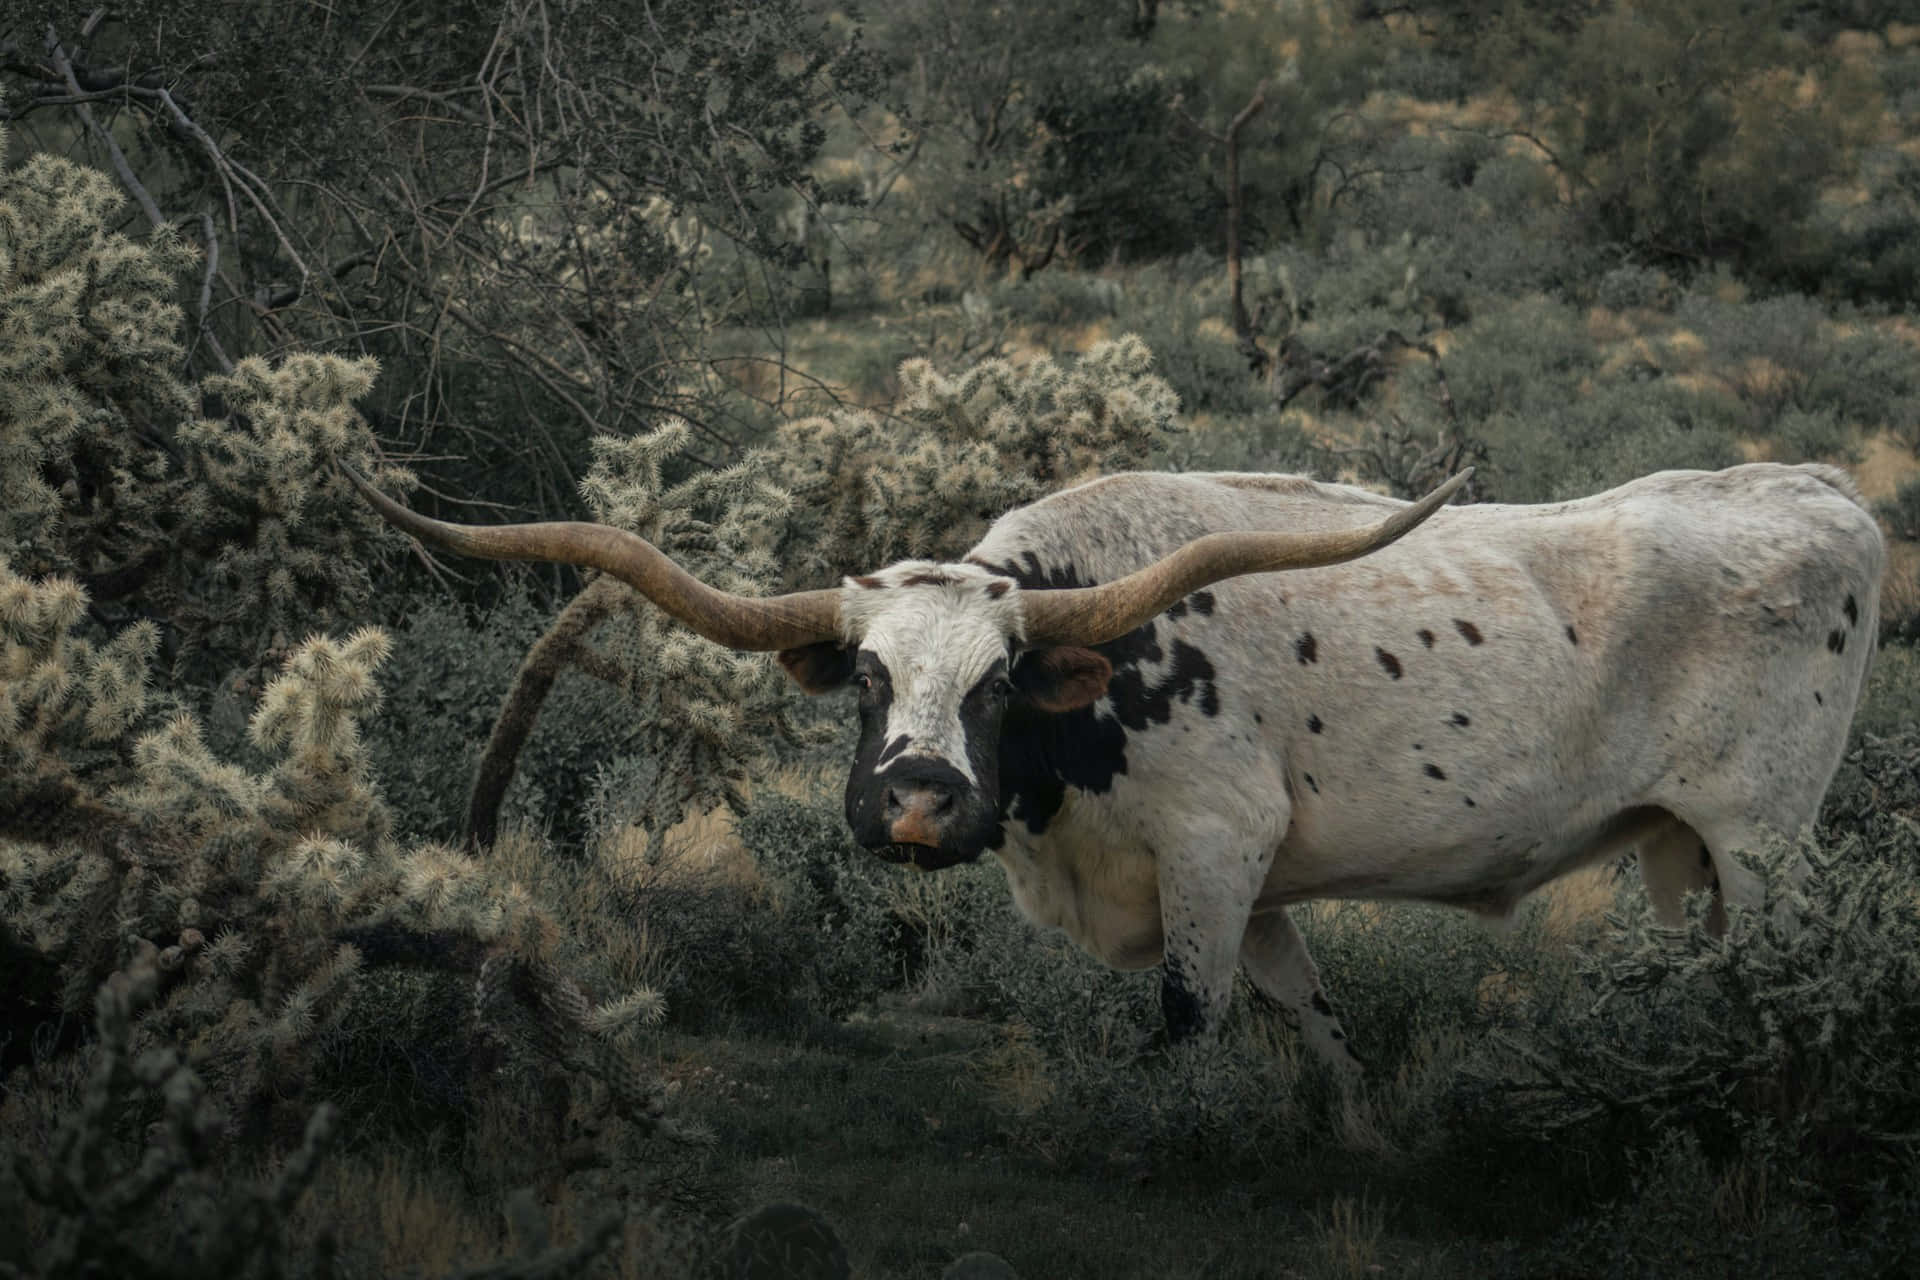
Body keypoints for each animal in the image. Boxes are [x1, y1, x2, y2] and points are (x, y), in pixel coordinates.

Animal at [345, 461, 1884, 1071]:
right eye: (867, 678)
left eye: (998, 682)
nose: (919, 801)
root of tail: (1825, 496)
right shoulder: (1259, 898)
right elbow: (1323, 1039)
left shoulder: (1211, 856)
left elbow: (1184, 1035)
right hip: (1679, 854)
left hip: (1767, 842)